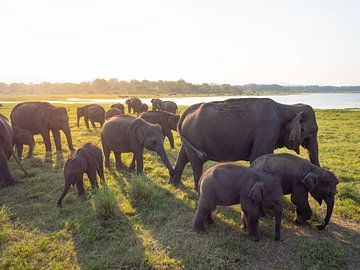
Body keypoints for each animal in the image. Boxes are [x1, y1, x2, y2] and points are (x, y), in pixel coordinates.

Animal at [172, 98, 320, 190]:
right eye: (312, 131)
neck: (285, 107)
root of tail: (187, 111)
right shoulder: (267, 130)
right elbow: (258, 157)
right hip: (194, 136)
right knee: (196, 162)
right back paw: (197, 191)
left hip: (189, 136)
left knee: (183, 155)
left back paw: (175, 184)